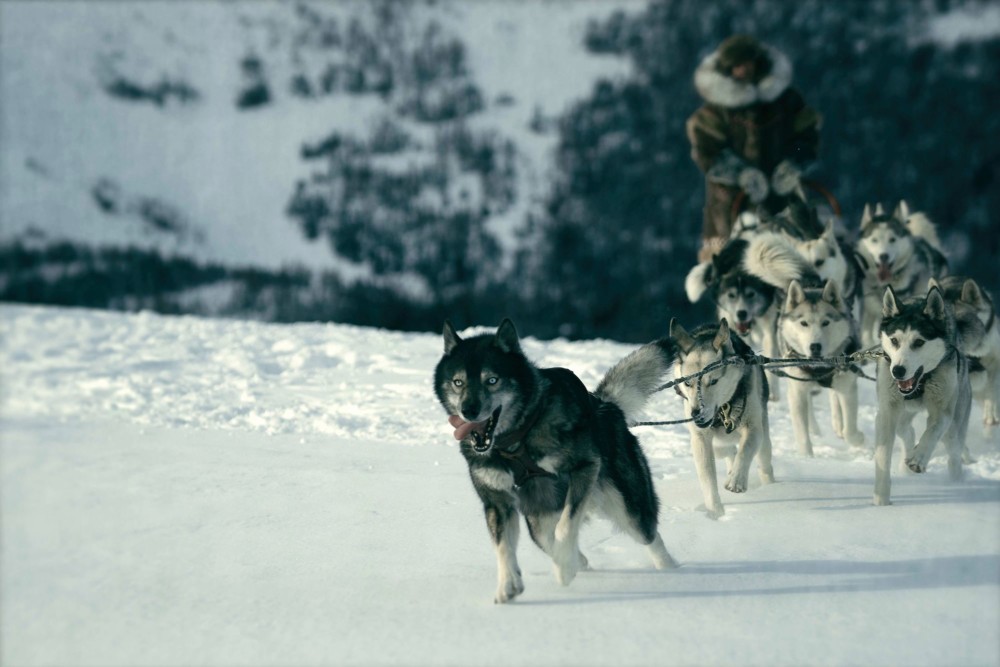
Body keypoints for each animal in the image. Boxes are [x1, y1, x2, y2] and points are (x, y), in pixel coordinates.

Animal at [436, 320, 680, 604]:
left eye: (492, 380)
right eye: (458, 382)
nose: (469, 410)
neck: (516, 440)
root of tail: (606, 406)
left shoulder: (584, 469)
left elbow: (565, 527)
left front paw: (563, 570)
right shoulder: (498, 502)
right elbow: (503, 547)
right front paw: (508, 584)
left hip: (627, 506)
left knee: (649, 535)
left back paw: (669, 570)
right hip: (538, 518)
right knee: (548, 538)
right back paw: (578, 562)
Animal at [672, 318, 772, 516]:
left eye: (713, 381)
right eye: (688, 383)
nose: (696, 414)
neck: (724, 408)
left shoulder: (753, 428)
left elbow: (745, 450)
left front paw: (736, 481)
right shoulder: (700, 438)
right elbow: (708, 479)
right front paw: (715, 512)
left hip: (764, 440)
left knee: (764, 464)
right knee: (726, 450)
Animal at [776, 280, 864, 456]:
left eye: (826, 322)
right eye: (804, 323)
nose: (815, 346)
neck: (819, 366)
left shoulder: (848, 388)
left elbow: (849, 431)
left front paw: (858, 438)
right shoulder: (796, 391)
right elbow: (802, 434)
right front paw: (807, 458)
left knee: (834, 396)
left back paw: (838, 424)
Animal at [872, 288, 972, 506]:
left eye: (918, 342)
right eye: (894, 341)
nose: (898, 370)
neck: (921, 382)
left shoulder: (942, 412)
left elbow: (932, 432)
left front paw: (919, 459)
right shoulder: (887, 412)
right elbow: (883, 455)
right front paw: (881, 499)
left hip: (954, 427)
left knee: (953, 452)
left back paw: (957, 482)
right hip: (901, 414)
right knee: (906, 431)